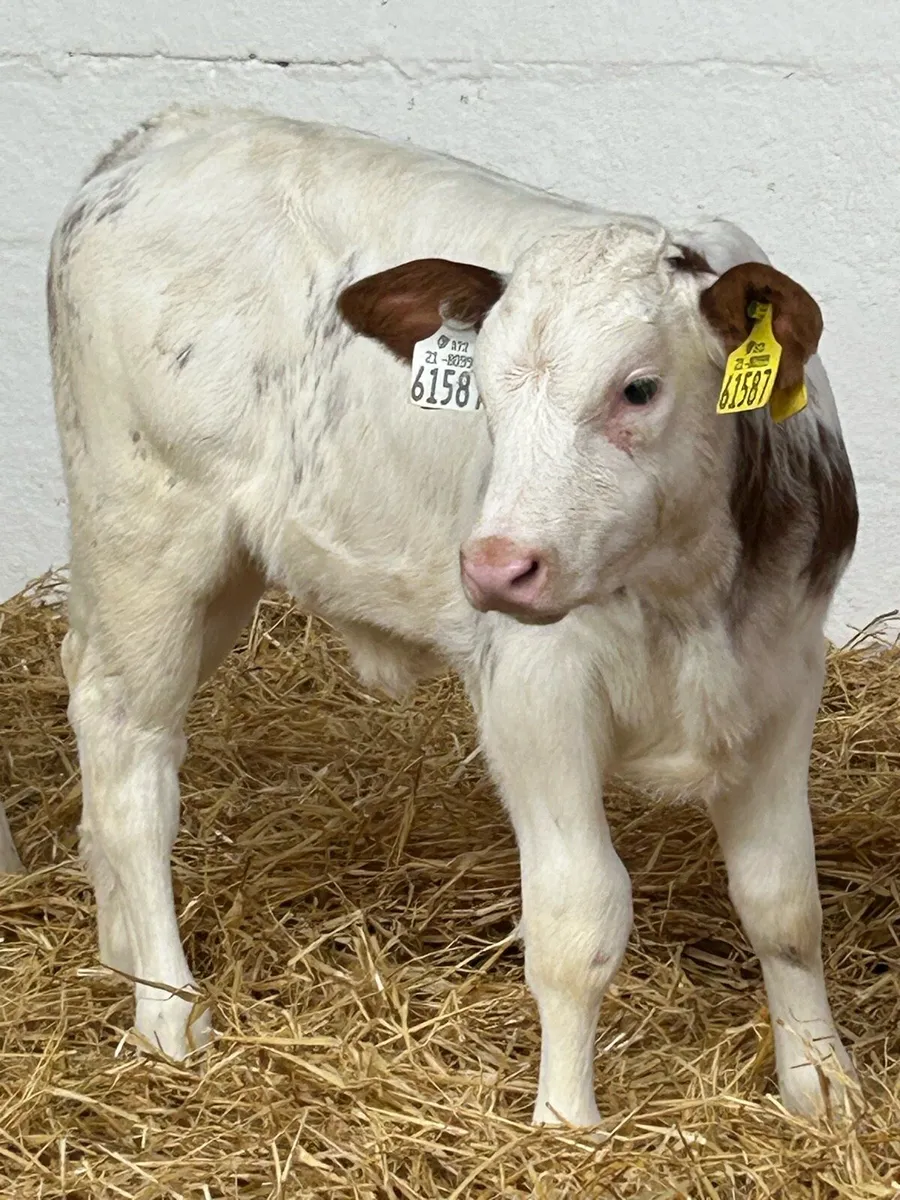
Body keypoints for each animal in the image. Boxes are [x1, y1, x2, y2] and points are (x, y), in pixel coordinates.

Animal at [33, 107, 858, 1126]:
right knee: (131, 757)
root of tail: (172, 130)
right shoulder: (533, 696)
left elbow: (784, 902)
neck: (685, 596)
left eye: (638, 387)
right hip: (148, 531)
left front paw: (824, 1085)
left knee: (90, 690)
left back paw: (118, 951)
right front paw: (566, 1124)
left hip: (211, 566)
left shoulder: (782, 675)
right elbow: (579, 919)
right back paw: (167, 1010)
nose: (496, 566)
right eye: (487, 393)